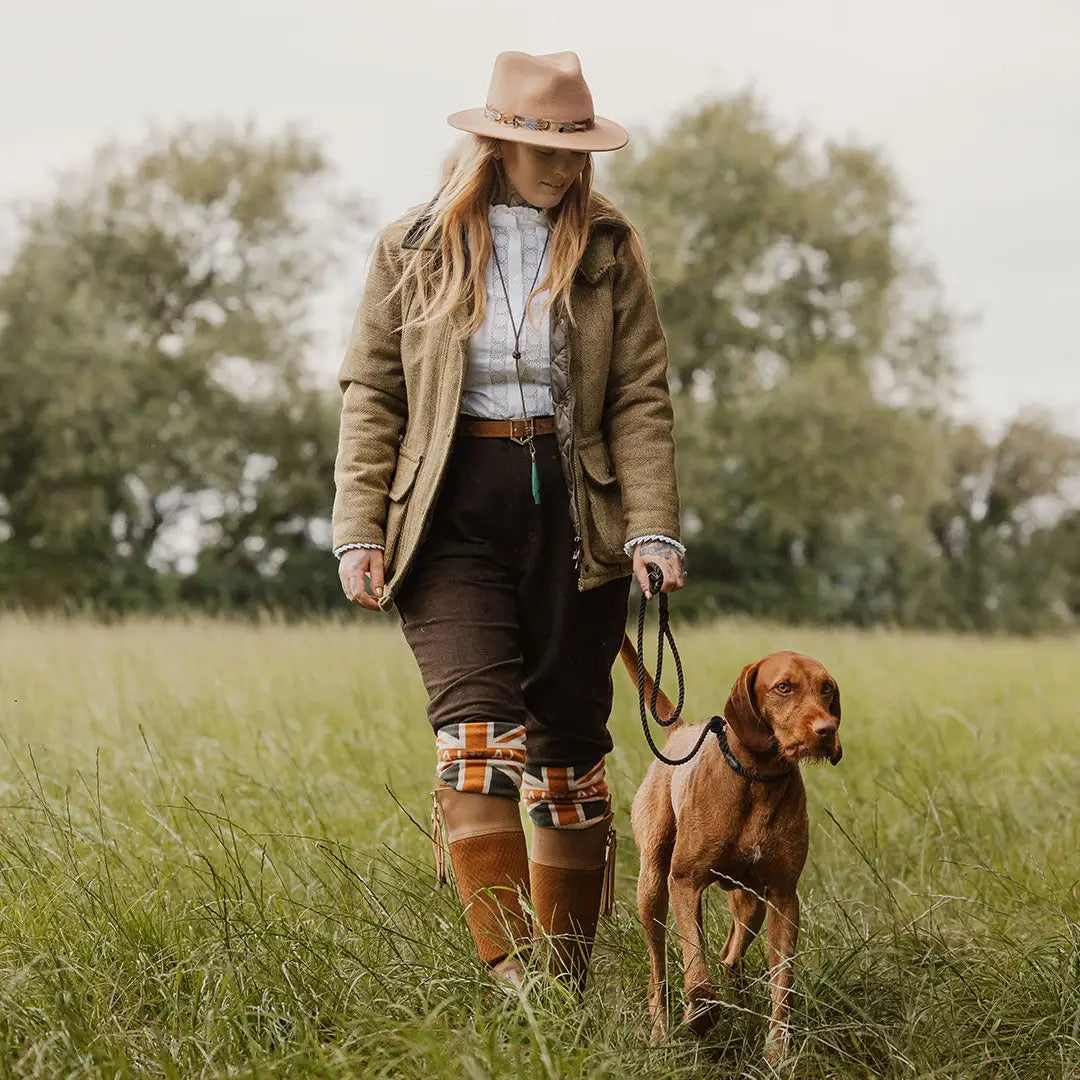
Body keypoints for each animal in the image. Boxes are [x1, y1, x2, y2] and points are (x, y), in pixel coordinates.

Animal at [626, 635, 842, 1058]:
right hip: (653, 886)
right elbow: (696, 973)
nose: (827, 729)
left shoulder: (783, 896)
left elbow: (783, 981)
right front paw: (700, 1017)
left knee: (730, 957)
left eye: (826, 688)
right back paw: (661, 1031)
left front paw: (778, 1051)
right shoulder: (686, 882)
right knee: (659, 969)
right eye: (783, 687)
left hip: (751, 903)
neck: (759, 779)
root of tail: (682, 730)